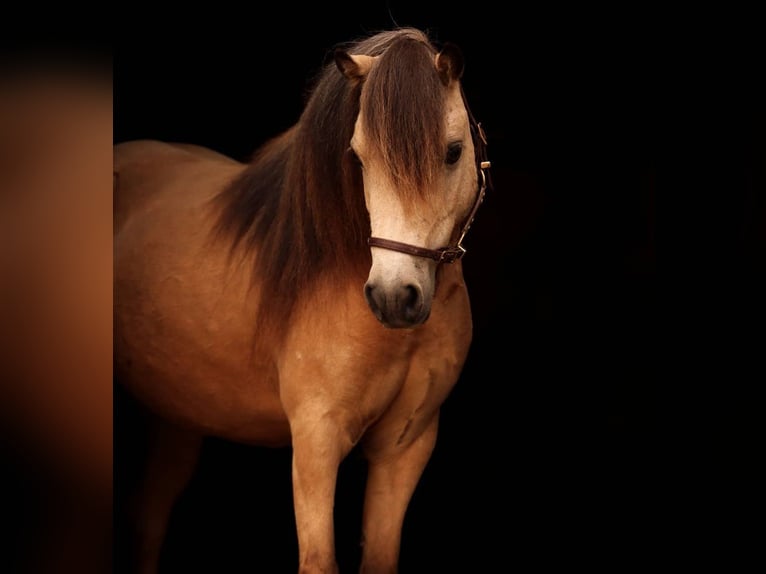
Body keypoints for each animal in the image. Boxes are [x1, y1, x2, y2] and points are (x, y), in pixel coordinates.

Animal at [118, 28, 496, 574]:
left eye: (452, 151)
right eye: (358, 158)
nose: (393, 297)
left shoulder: (406, 446)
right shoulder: (316, 441)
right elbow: (319, 559)